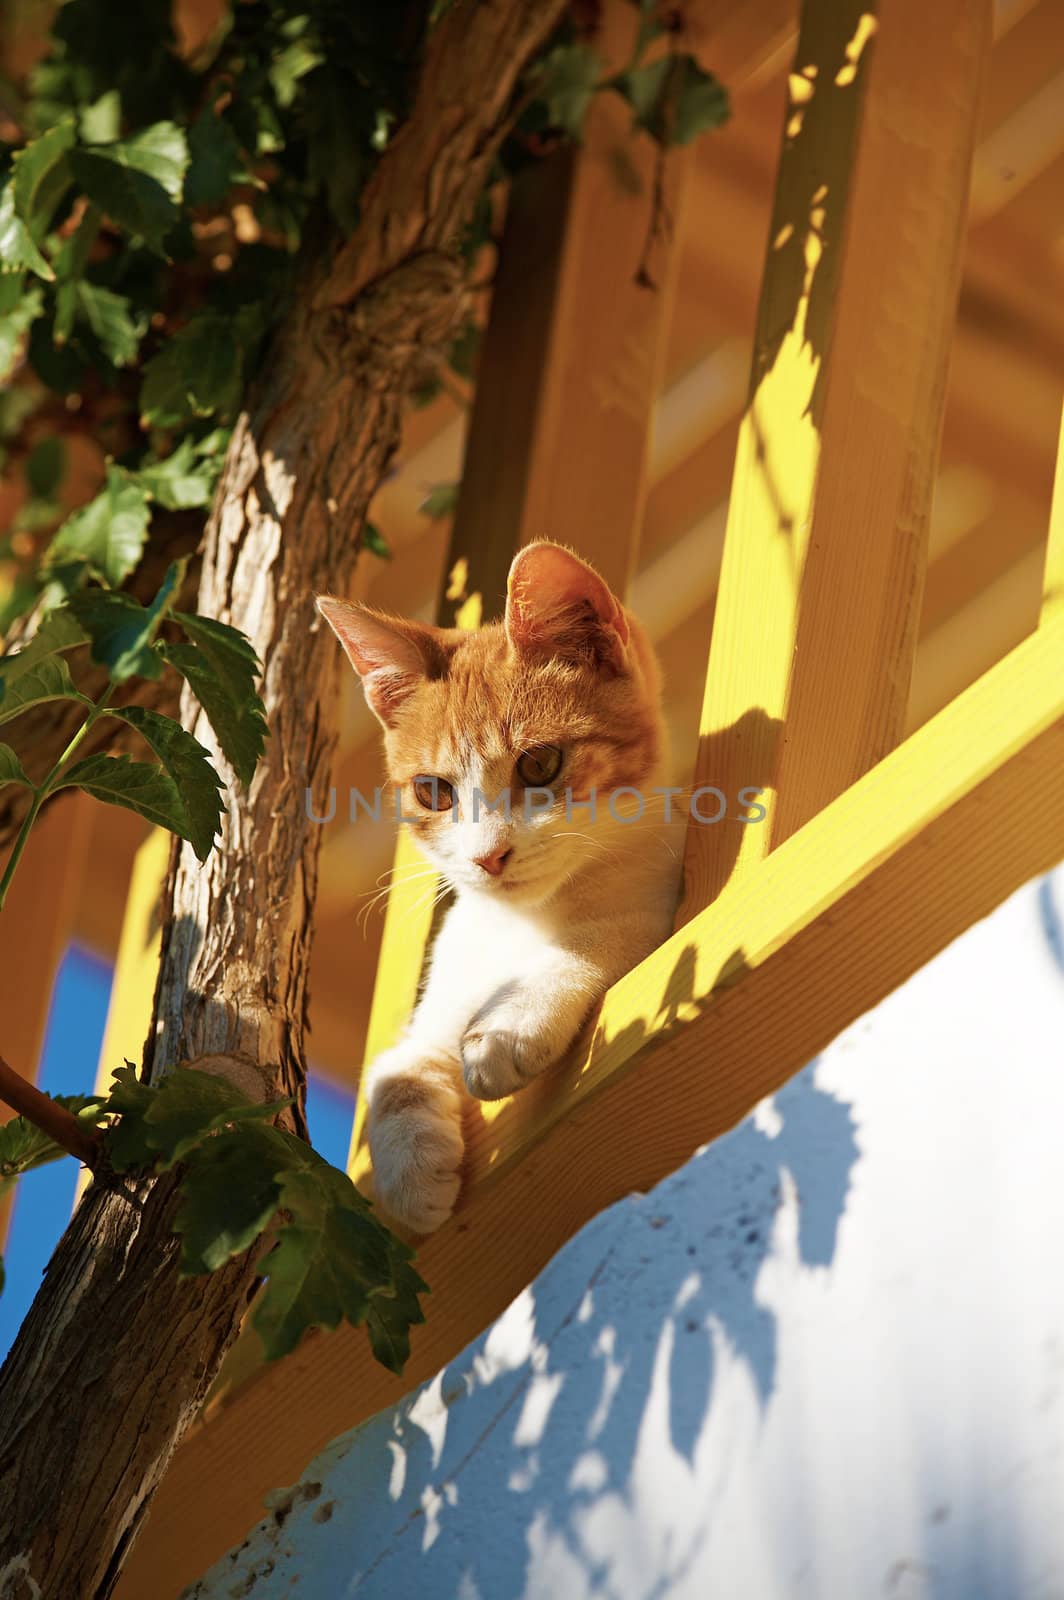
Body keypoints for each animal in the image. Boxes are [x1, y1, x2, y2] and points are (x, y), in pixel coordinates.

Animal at [316, 544, 681, 1228]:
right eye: (433, 791)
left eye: (540, 763)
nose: (487, 857)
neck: (520, 921)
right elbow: (396, 1066)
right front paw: (411, 1172)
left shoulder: (660, 899)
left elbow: (601, 939)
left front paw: (507, 1025)